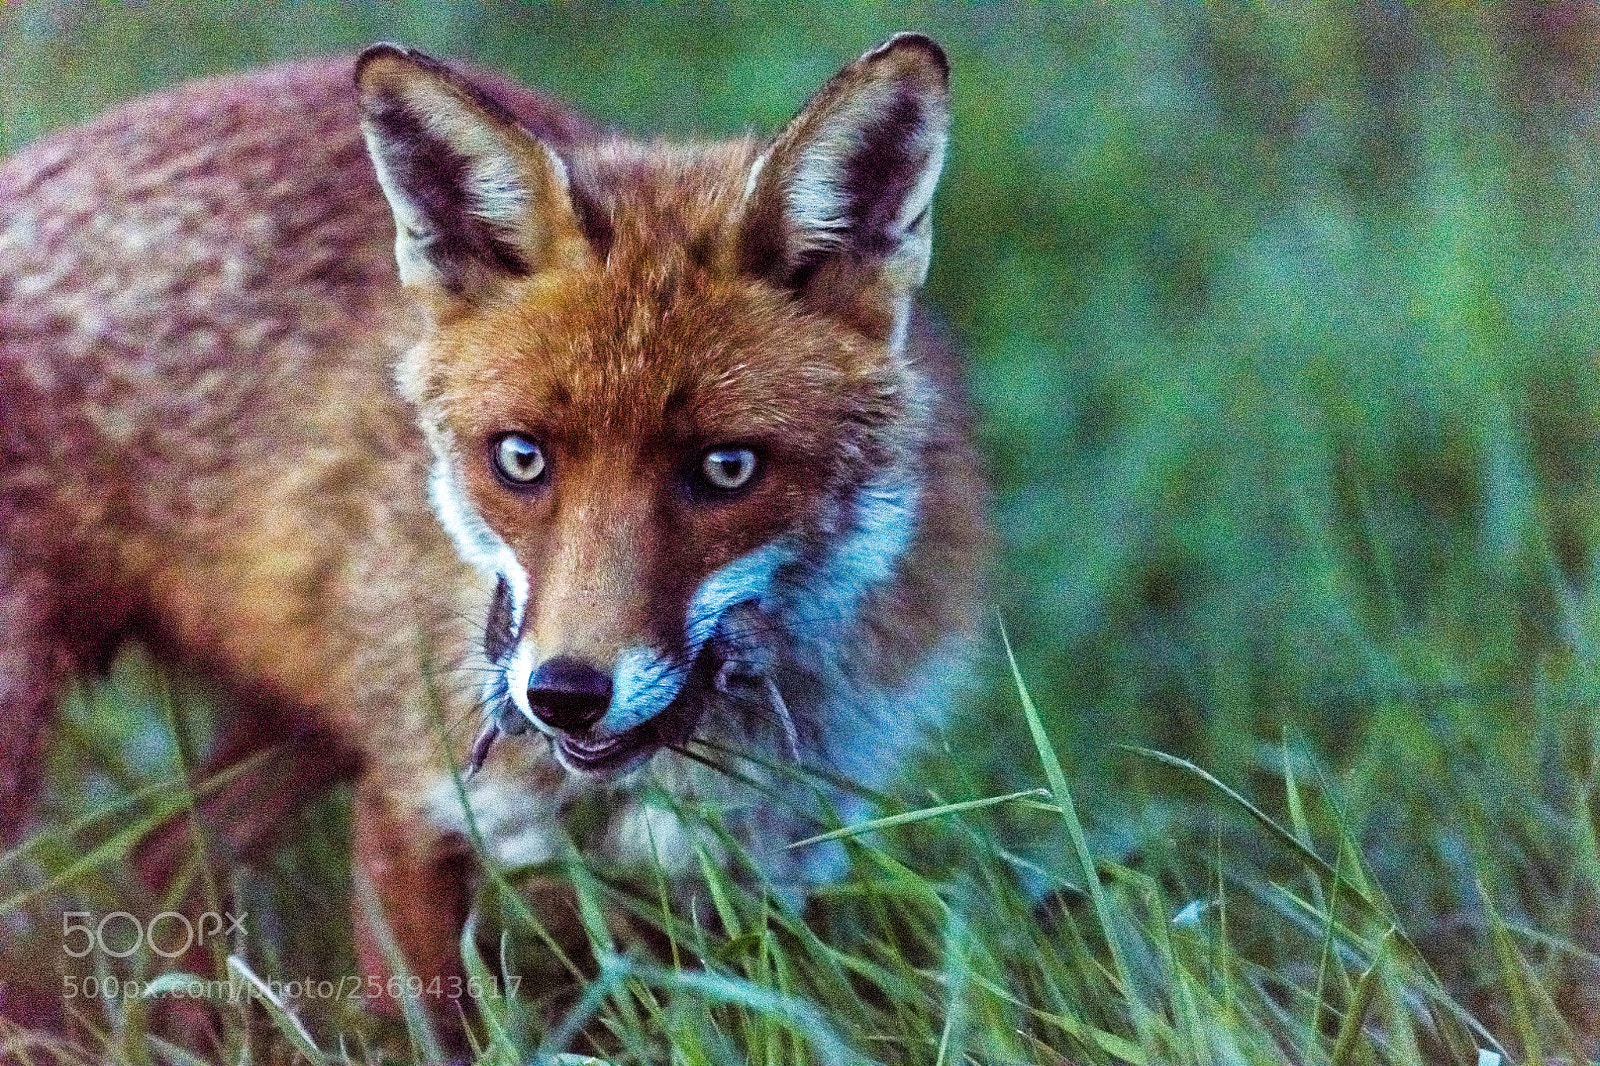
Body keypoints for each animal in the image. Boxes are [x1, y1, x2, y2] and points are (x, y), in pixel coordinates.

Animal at [0, 33, 987, 1022]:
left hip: (311, 717)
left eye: (727, 468)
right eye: (520, 457)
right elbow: (429, 1027)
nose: (563, 694)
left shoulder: (750, 879)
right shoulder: (412, 812)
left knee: (164, 858)